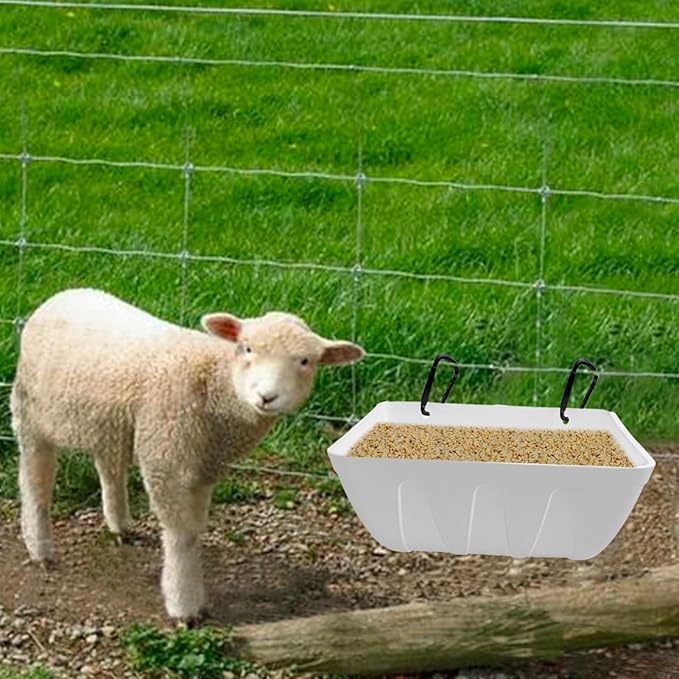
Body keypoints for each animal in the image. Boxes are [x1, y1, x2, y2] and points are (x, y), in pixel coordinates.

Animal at [11, 288, 365, 622]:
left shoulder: (204, 467)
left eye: (305, 361)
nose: (267, 396)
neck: (212, 385)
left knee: (109, 468)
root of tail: (65, 294)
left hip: (110, 423)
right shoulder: (165, 459)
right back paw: (40, 548)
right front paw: (185, 607)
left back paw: (119, 525)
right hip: (30, 412)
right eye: (247, 348)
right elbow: (182, 536)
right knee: (34, 481)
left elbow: (195, 531)